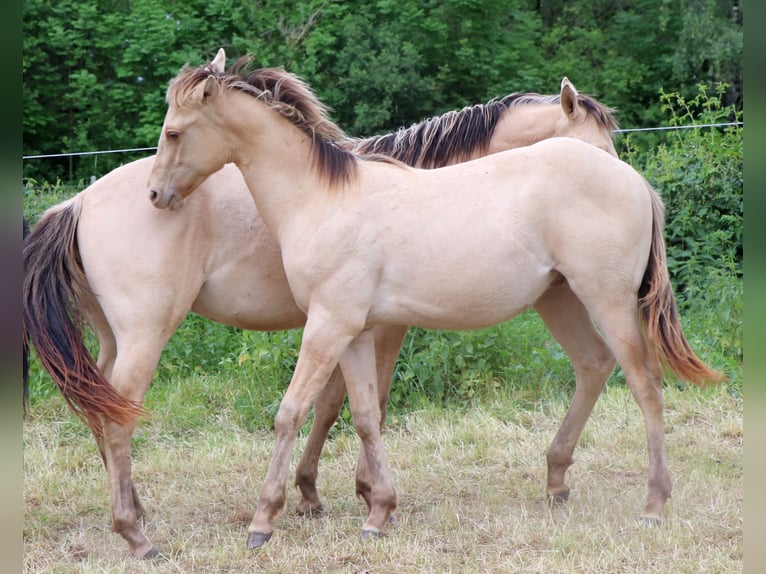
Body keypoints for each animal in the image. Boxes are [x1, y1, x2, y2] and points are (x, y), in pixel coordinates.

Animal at [23, 57, 620, 558]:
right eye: (600, 150)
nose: (625, 185)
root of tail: (79, 201)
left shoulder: (354, 324)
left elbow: (339, 405)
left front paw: (320, 494)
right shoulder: (378, 326)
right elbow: (364, 404)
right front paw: (358, 494)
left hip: (113, 337)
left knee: (101, 408)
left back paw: (136, 510)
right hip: (147, 333)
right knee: (117, 413)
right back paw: (135, 533)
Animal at [145, 49, 722, 549]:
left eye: (173, 131)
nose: (155, 195)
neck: (321, 198)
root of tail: (635, 184)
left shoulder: (330, 325)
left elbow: (294, 412)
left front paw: (265, 520)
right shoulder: (355, 331)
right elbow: (362, 413)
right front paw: (377, 511)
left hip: (608, 301)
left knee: (645, 385)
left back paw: (653, 504)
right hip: (560, 300)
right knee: (594, 365)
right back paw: (557, 481)